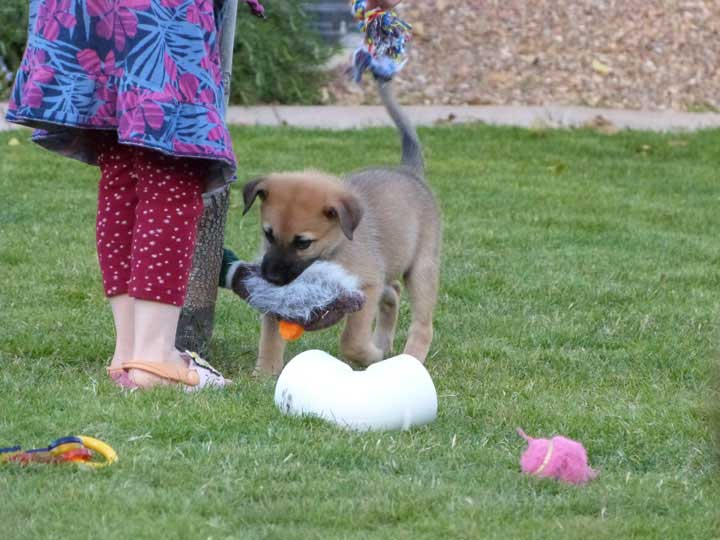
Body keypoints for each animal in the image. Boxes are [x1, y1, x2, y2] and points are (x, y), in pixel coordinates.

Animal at [245, 80, 442, 376]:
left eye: (303, 243)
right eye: (268, 234)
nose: (271, 277)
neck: (333, 250)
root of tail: (410, 173)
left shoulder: (366, 287)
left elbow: (352, 339)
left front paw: (369, 355)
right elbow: (270, 335)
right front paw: (265, 373)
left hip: (421, 269)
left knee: (422, 324)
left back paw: (409, 359)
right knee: (393, 293)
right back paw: (384, 344)